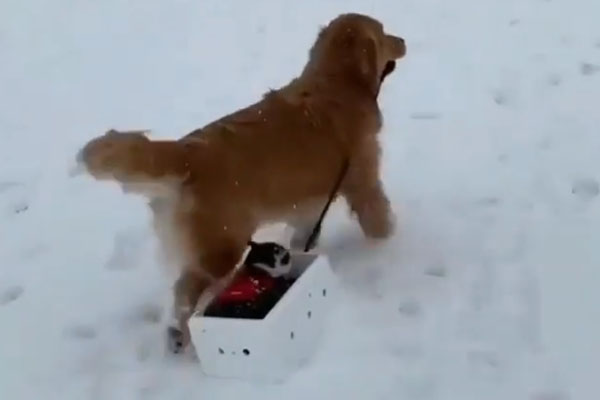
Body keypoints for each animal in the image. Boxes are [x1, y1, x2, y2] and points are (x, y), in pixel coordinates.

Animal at [75, 12, 404, 354]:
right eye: (384, 33)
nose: (404, 41)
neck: (334, 81)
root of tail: (185, 152)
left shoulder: (310, 205)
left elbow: (303, 236)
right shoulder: (364, 184)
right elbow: (379, 222)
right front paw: (387, 250)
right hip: (219, 252)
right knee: (185, 294)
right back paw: (182, 335)